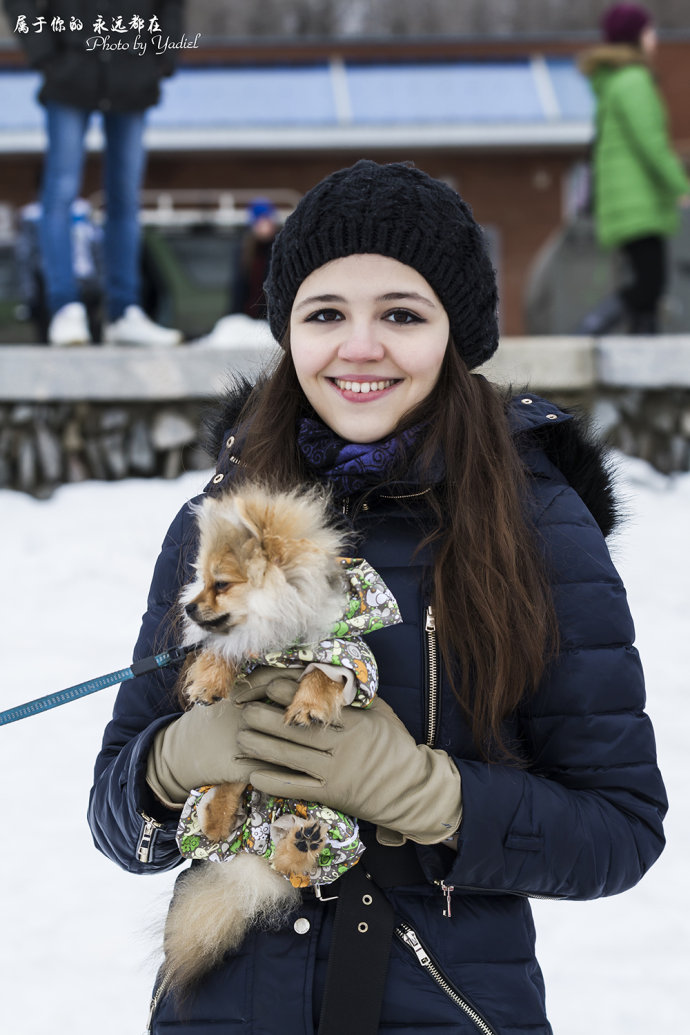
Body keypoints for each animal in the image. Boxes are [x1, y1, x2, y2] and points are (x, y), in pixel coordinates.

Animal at [162, 482, 360, 993]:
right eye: (198, 580)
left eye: (221, 584)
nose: (187, 606)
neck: (274, 639)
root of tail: (253, 850)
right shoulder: (240, 647)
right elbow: (221, 653)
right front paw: (209, 681)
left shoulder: (343, 652)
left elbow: (326, 673)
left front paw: (310, 704)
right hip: (224, 785)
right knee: (220, 814)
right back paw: (221, 817)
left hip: (323, 813)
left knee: (291, 863)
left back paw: (302, 843)